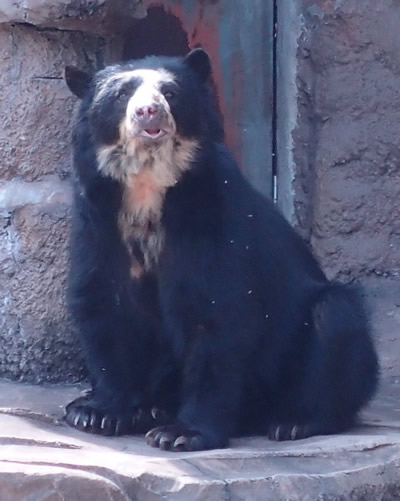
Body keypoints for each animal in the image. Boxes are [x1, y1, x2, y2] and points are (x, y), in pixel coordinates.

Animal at [63, 48, 378, 452]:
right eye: (122, 94)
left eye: (170, 92)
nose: (149, 111)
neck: (147, 189)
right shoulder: (98, 223)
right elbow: (103, 304)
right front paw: (98, 413)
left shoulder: (210, 219)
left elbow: (215, 314)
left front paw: (181, 434)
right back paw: (142, 408)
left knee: (334, 320)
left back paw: (294, 422)